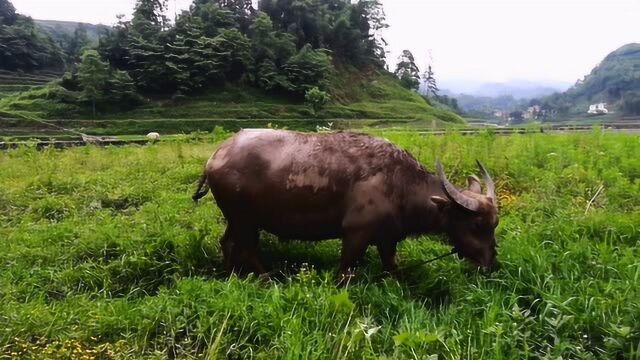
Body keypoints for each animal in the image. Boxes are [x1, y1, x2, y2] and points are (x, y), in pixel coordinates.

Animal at [192, 129, 498, 276]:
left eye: (495, 224)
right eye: (477, 225)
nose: (491, 264)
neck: (400, 183)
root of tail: (216, 156)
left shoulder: (388, 239)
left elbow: (392, 267)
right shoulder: (355, 235)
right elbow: (345, 272)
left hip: (238, 220)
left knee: (228, 243)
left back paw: (232, 273)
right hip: (245, 220)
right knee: (246, 246)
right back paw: (265, 276)